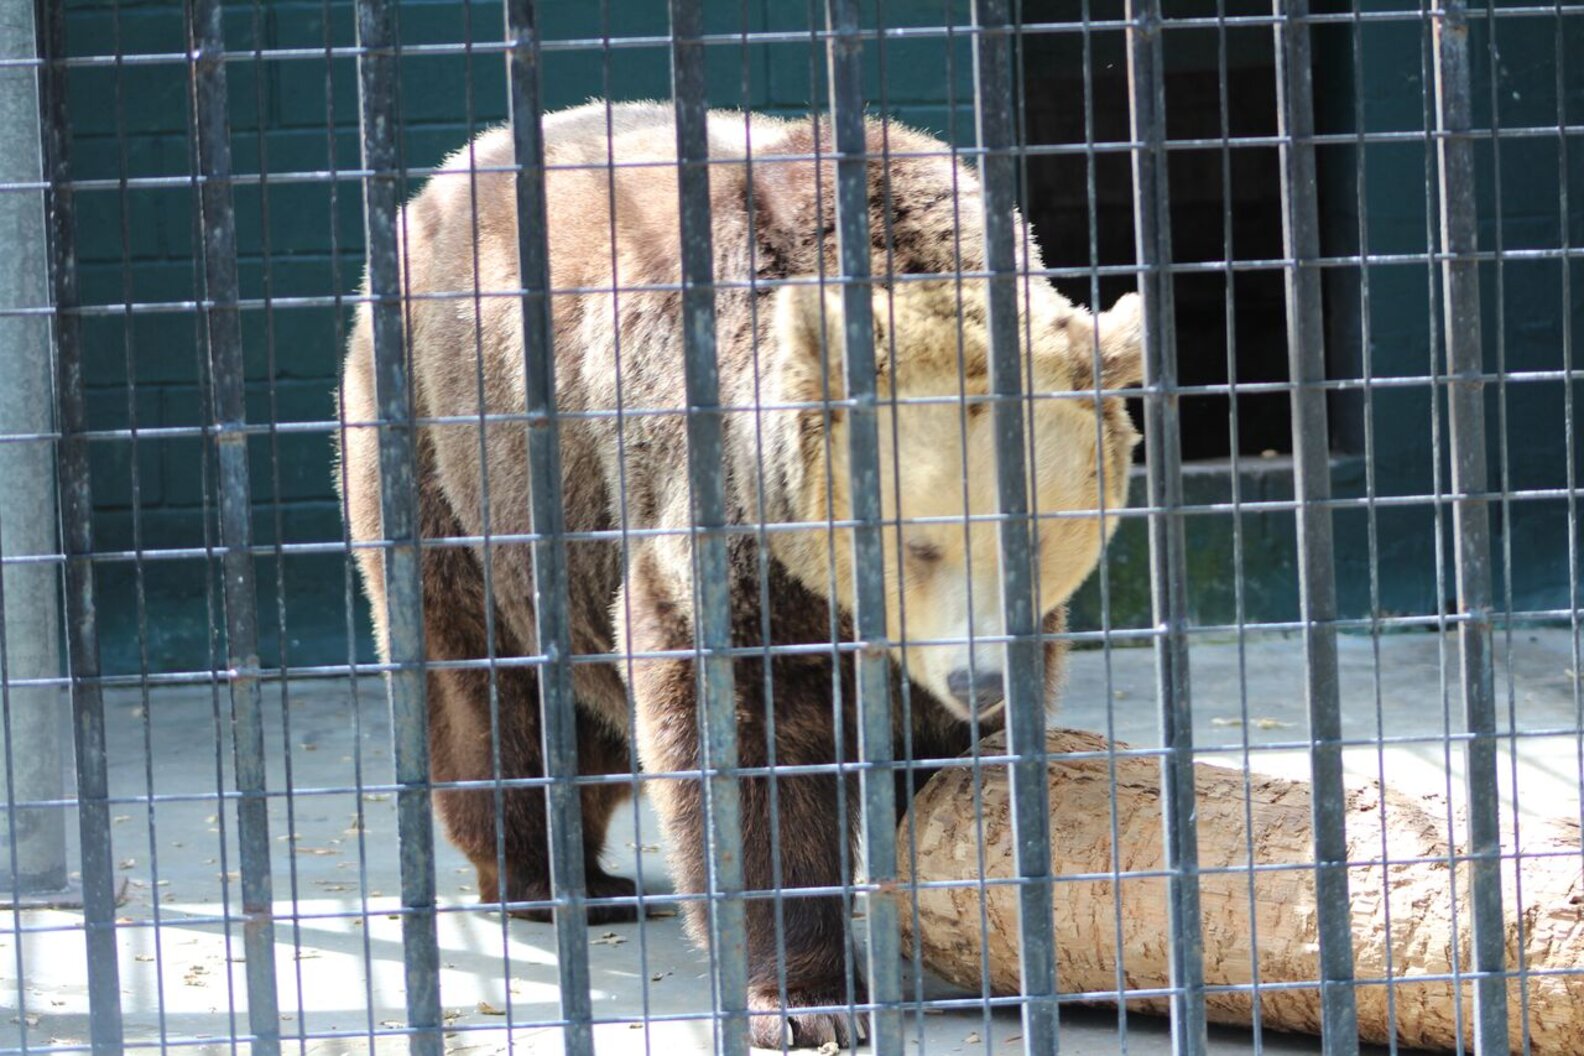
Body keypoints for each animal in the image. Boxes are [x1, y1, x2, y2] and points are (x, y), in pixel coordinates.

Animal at [336, 100, 1143, 1048]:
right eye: (917, 542)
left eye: (1035, 536)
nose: (974, 679)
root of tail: (451, 171)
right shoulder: (728, 512)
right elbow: (742, 745)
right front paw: (807, 999)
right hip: (455, 466)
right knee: (496, 697)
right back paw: (558, 881)